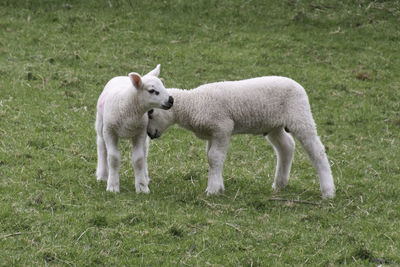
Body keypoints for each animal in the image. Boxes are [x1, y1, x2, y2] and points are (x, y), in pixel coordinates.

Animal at [96, 65, 174, 194]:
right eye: (151, 90)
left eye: (163, 85)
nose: (171, 100)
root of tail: (122, 77)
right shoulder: (110, 131)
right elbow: (113, 158)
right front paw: (112, 186)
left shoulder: (140, 133)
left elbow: (139, 159)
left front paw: (142, 187)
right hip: (101, 125)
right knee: (102, 147)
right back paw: (102, 175)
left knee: (145, 151)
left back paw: (145, 177)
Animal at [146, 75, 334, 199]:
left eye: (151, 112)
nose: (149, 134)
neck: (193, 104)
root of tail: (298, 85)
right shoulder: (212, 134)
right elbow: (211, 158)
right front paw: (219, 185)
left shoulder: (223, 127)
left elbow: (215, 158)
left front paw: (212, 190)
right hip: (274, 125)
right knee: (286, 147)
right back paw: (279, 184)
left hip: (300, 116)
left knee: (317, 151)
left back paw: (328, 191)